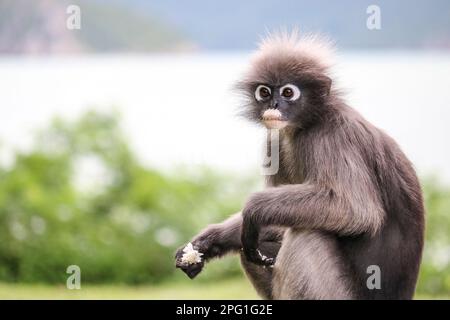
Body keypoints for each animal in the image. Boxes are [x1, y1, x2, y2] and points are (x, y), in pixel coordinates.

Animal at [174, 30, 424, 300]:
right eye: (264, 92)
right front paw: (209, 242)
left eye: (287, 93)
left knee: (307, 234)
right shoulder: (275, 140)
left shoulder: (334, 136)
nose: (273, 105)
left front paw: (252, 209)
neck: (308, 123)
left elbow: (356, 210)